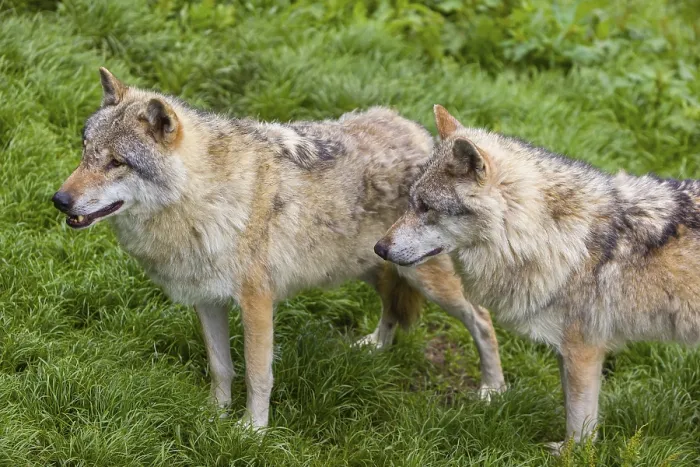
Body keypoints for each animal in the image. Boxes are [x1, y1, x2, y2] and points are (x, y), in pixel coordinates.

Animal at [52, 69, 505, 428]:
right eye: (86, 150)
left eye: (117, 162)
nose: (59, 200)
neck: (204, 197)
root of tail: (422, 134)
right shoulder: (207, 299)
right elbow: (220, 366)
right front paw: (213, 416)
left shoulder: (257, 302)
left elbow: (257, 374)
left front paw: (251, 432)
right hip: (374, 265)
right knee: (392, 307)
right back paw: (375, 347)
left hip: (428, 280)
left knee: (482, 319)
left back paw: (493, 391)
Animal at [375, 105, 700, 449]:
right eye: (411, 201)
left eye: (426, 207)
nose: (379, 248)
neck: (553, 236)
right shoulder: (565, 351)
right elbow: (573, 412)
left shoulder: (584, 350)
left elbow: (578, 426)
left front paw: (570, 454)